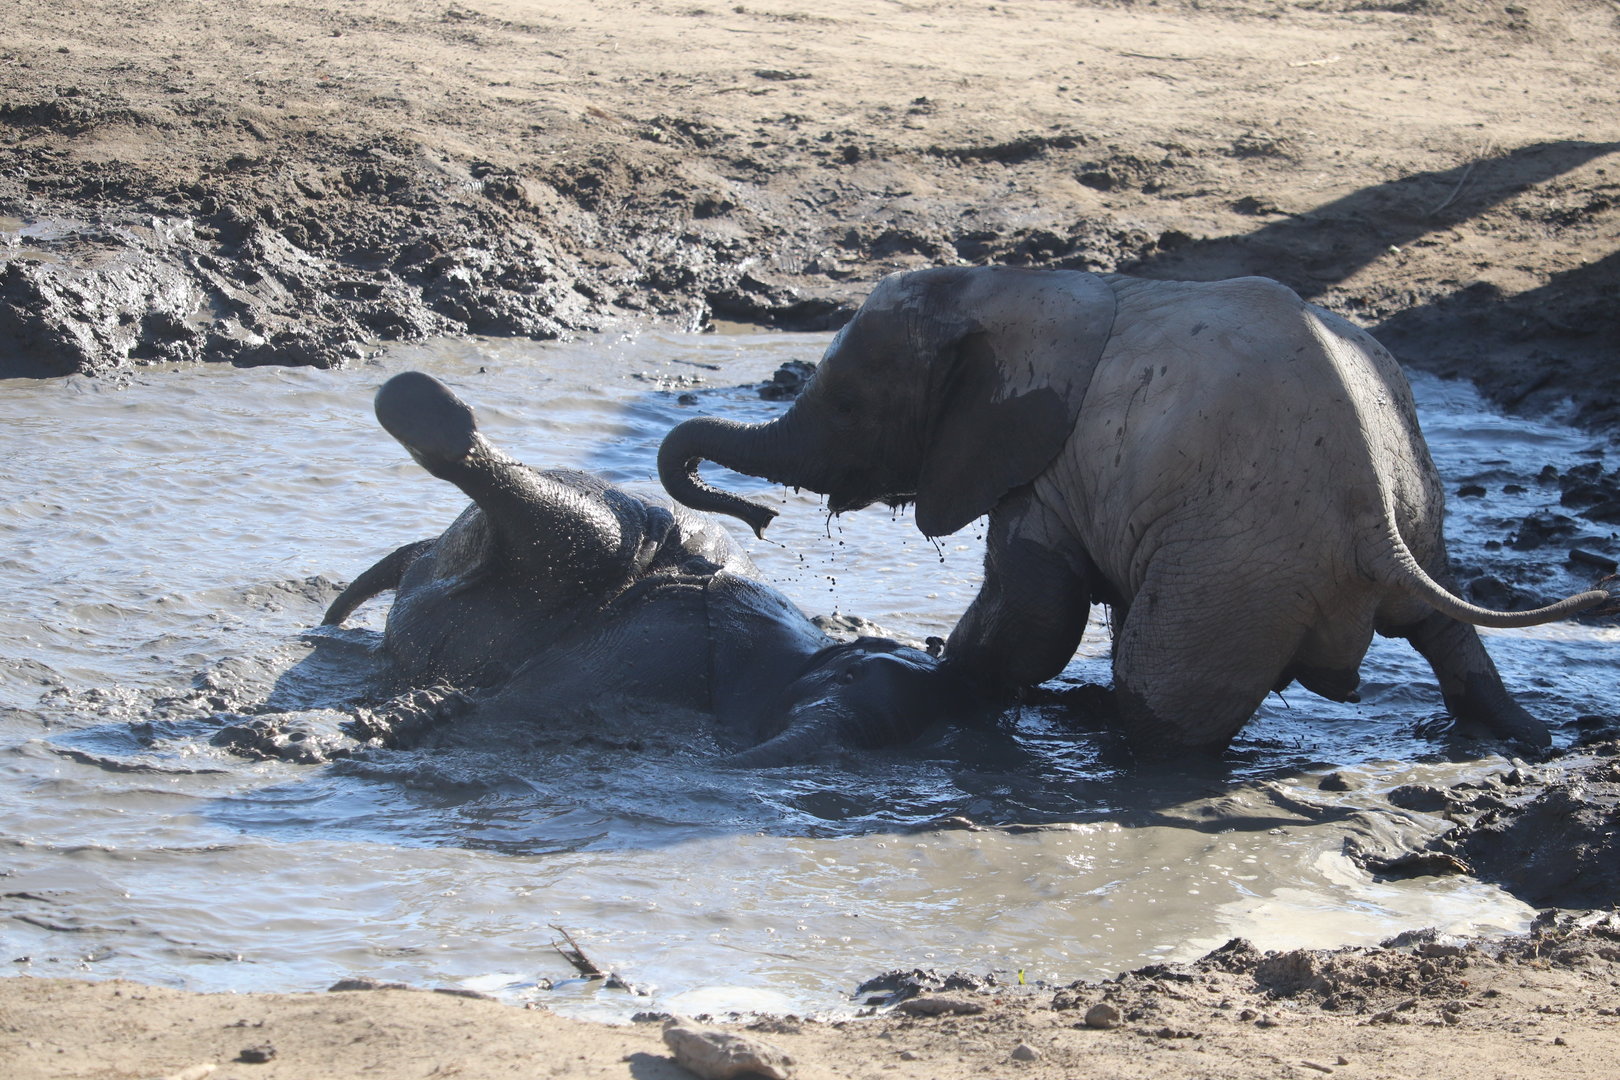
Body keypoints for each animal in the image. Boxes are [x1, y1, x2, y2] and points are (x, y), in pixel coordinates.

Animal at [658, 266, 1613, 754]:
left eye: (850, 405)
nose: (760, 520)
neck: (1019, 288)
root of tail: (1376, 520)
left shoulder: (1046, 464)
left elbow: (1035, 614)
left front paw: (934, 678)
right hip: (1413, 508)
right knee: (1445, 630)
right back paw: (1523, 738)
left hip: (1238, 570)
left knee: (1163, 699)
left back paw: (1111, 733)